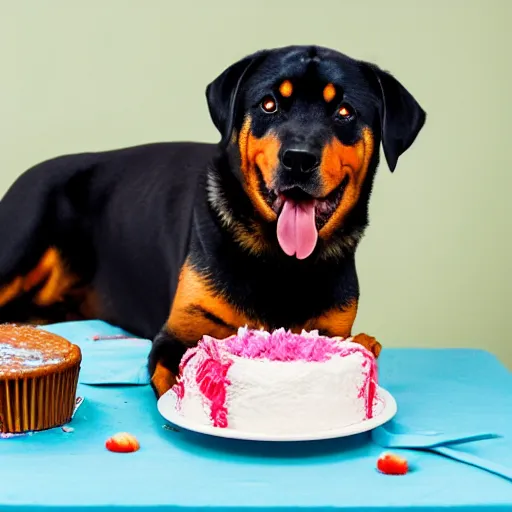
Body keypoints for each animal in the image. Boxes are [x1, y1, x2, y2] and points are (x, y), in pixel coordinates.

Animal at [0, 45, 426, 396]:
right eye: (269, 105)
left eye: (344, 111)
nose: (299, 159)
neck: (281, 261)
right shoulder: (182, 327)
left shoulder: (333, 326)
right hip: (23, 236)